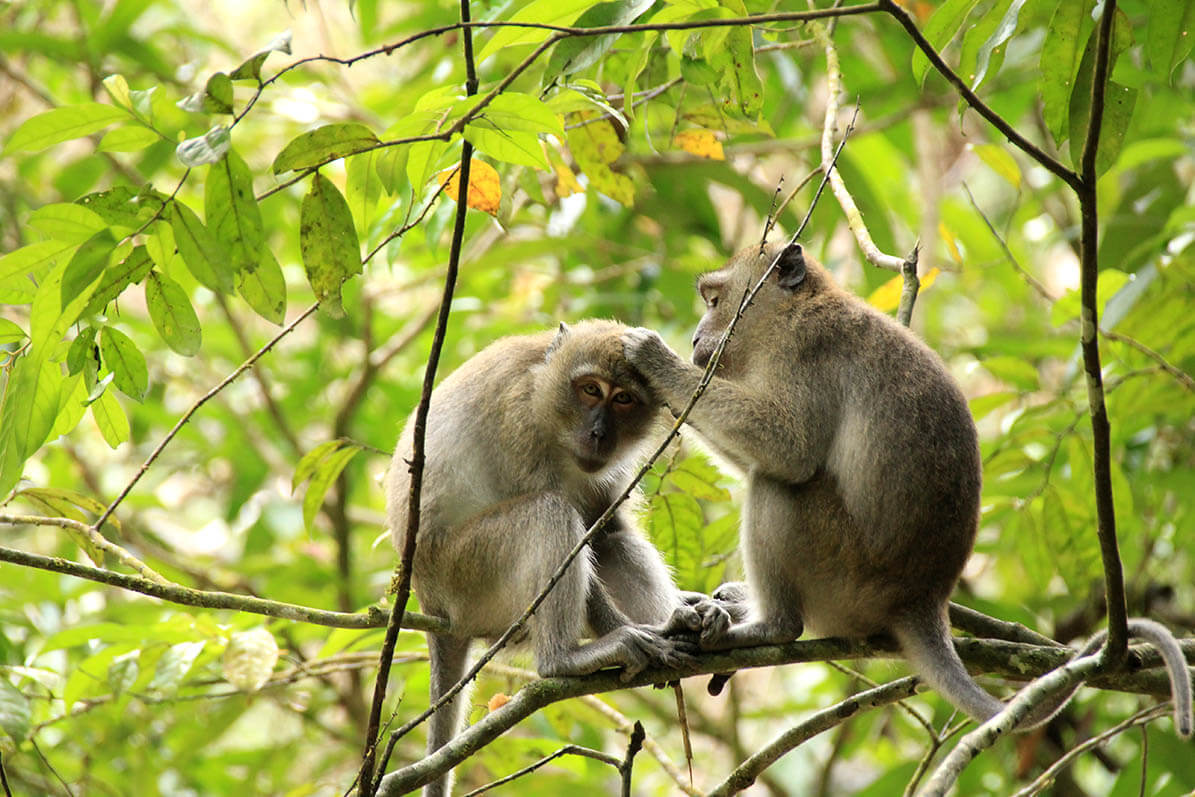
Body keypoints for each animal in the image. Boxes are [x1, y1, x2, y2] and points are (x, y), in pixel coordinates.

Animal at [387, 320, 697, 797]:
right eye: (590, 389)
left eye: (623, 399)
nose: (598, 434)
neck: (544, 390)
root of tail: (430, 604)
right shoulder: (518, 419)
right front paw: (628, 634)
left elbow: (609, 529)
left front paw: (689, 616)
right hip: (466, 574)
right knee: (549, 513)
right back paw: (564, 659)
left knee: (608, 539)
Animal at [621, 243, 1190, 736]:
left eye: (715, 301)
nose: (696, 338)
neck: (793, 311)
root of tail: (923, 599)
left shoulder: (805, 349)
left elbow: (789, 449)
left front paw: (654, 358)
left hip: (844, 572)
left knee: (780, 486)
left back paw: (771, 626)